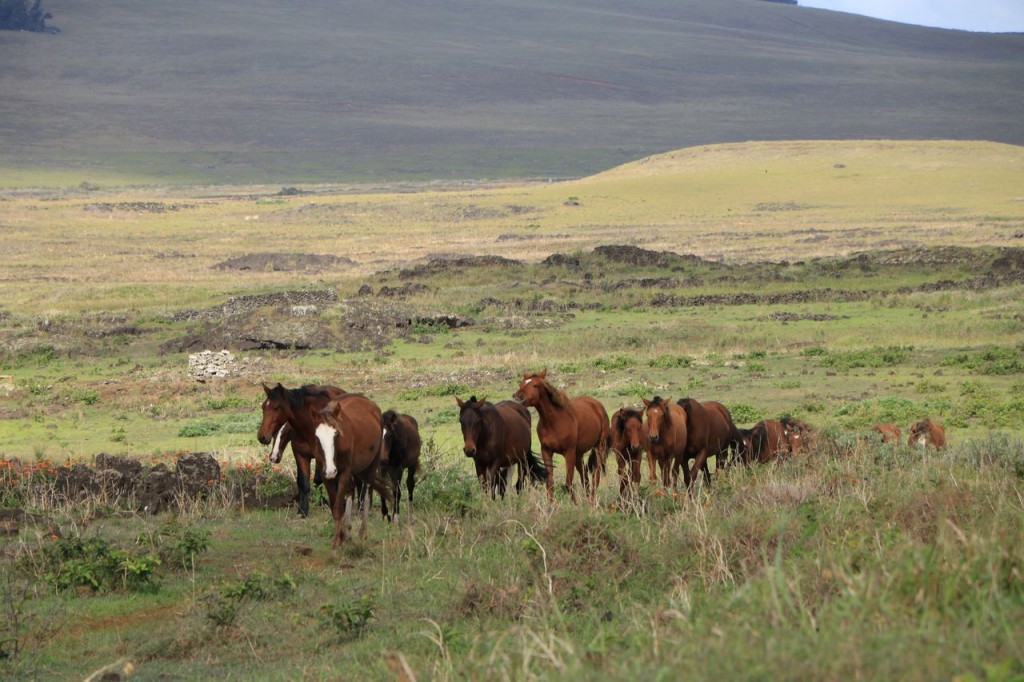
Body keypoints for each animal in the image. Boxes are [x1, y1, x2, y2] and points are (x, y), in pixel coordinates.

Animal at [258, 382, 345, 517]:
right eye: (263, 407)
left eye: (276, 407)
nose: (262, 437)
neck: (309, 425)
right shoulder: (300, 455)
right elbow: (303, 482)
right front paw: (303, 509)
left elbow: (318, 480)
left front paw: (323, 503)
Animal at [513, 370, 610, 502]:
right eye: (521, 383)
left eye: (535, 385)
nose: (518, 397)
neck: (555, 422)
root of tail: (597, 405)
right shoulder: (546, 451)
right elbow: (550, 482)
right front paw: (550, 504)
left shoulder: (569, 452)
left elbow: (568, 482)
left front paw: (574, 503)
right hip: (579, 453)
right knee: (584, 475)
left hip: (599, 447)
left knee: (596, 474)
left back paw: (592, 500)